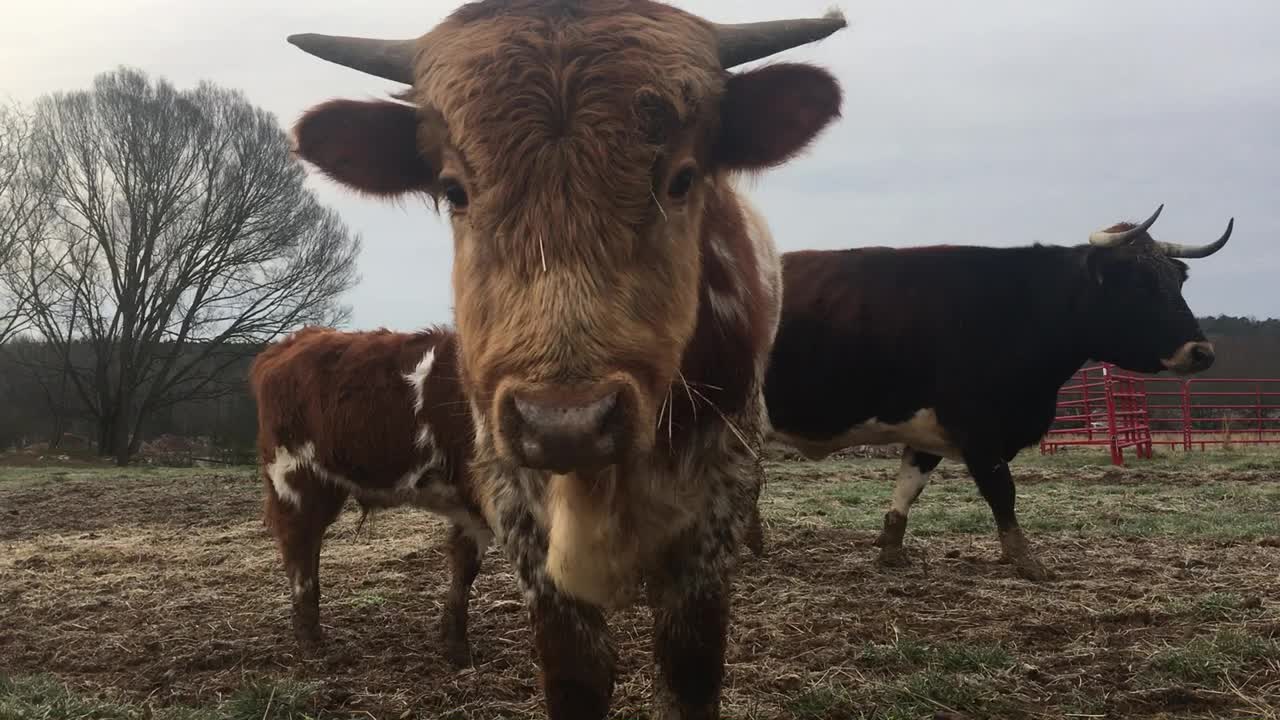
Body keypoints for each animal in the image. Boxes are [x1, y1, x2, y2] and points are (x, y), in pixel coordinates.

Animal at [249, 322, 488, 666]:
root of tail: (299, 339)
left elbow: (465, 566)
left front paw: (455, 647)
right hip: (295, 478)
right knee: (299, 547)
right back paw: (312, 643)